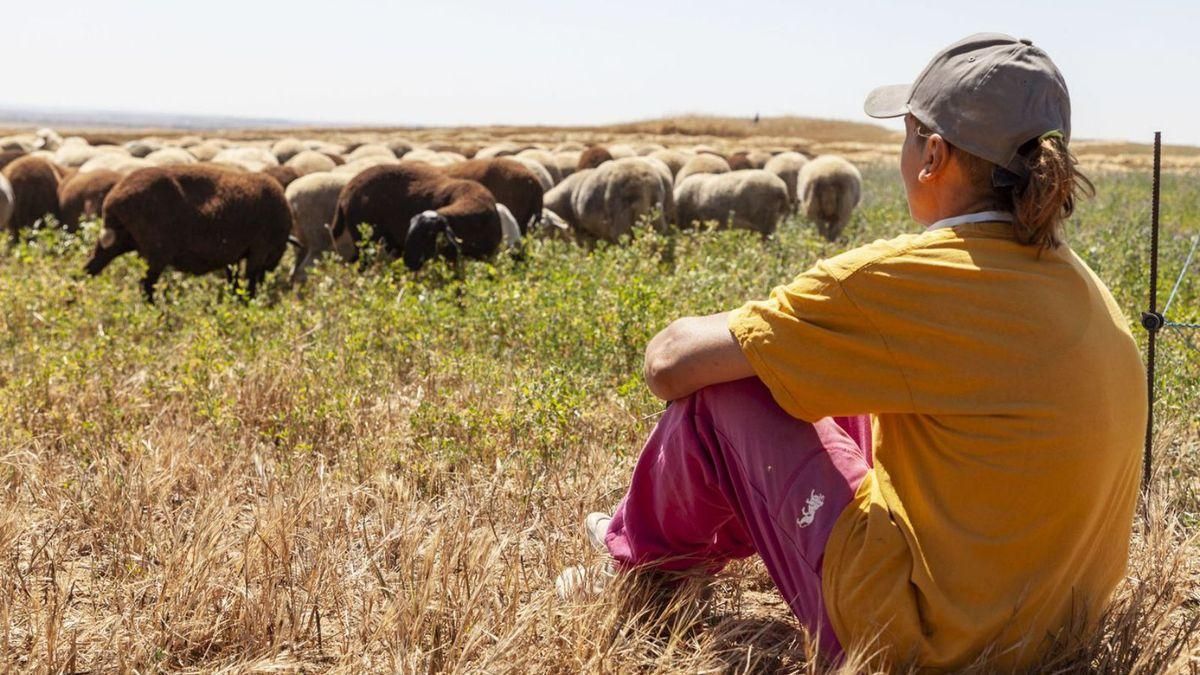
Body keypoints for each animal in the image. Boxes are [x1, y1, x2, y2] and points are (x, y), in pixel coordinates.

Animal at [85, 163, 292, 299]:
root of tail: (114, 198)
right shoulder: (259, 250)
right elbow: (249, 282)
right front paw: (246, 304)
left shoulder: (233, 257)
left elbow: (234, 282)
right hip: (156, 253)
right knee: (146, 285)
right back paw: (157, 316)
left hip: (116, 242)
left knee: (89, 269)